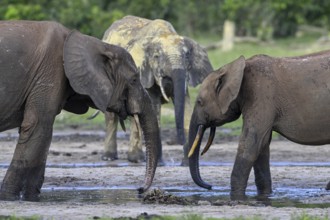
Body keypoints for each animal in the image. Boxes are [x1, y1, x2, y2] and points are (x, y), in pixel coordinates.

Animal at [0, 21, 161, 201]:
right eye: (133, 80)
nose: (140, 190)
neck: (98, 45)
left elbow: (42, 134)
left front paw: (31, 197)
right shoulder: (50, 72)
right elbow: (38, 126)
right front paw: (10, 197)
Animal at [100, 15, 213, 162]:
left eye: (187, 56)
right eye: (157, 57)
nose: (179, 141)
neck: (164, 34)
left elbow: (185, 105)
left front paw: (186, 163)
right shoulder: (144, 72)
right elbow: (153, 107)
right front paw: (159, 162)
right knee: (111, 117)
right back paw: (115, 158)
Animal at [187, 51, 330, 199]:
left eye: (199, 102)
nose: (210, 186)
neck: (232, 68)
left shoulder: (260, 95)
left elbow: (251, 143)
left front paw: (236, 197)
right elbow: (262, 145)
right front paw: (264, 195)